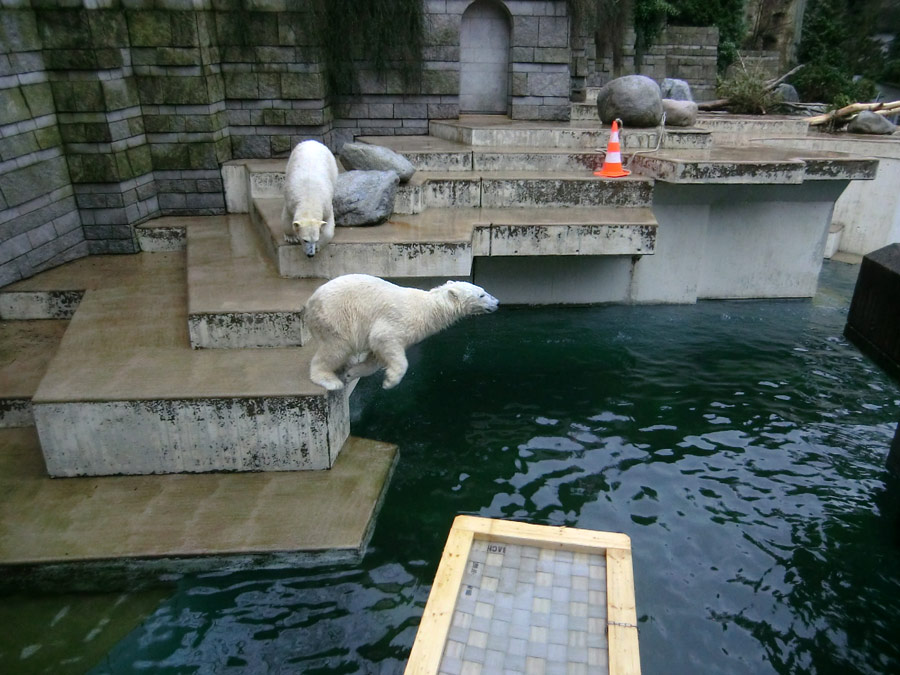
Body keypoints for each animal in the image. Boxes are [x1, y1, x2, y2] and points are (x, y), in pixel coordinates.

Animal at [302, 274, 500, 390]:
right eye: (482, 295)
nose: (497, 302)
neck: (428, 308)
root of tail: (311, 302)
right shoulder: (398, 320)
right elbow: (383, 339)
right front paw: (390, 381)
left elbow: (375, 357)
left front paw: (353, 373)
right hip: (336, 317)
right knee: (335, 348)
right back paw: (329, 380)